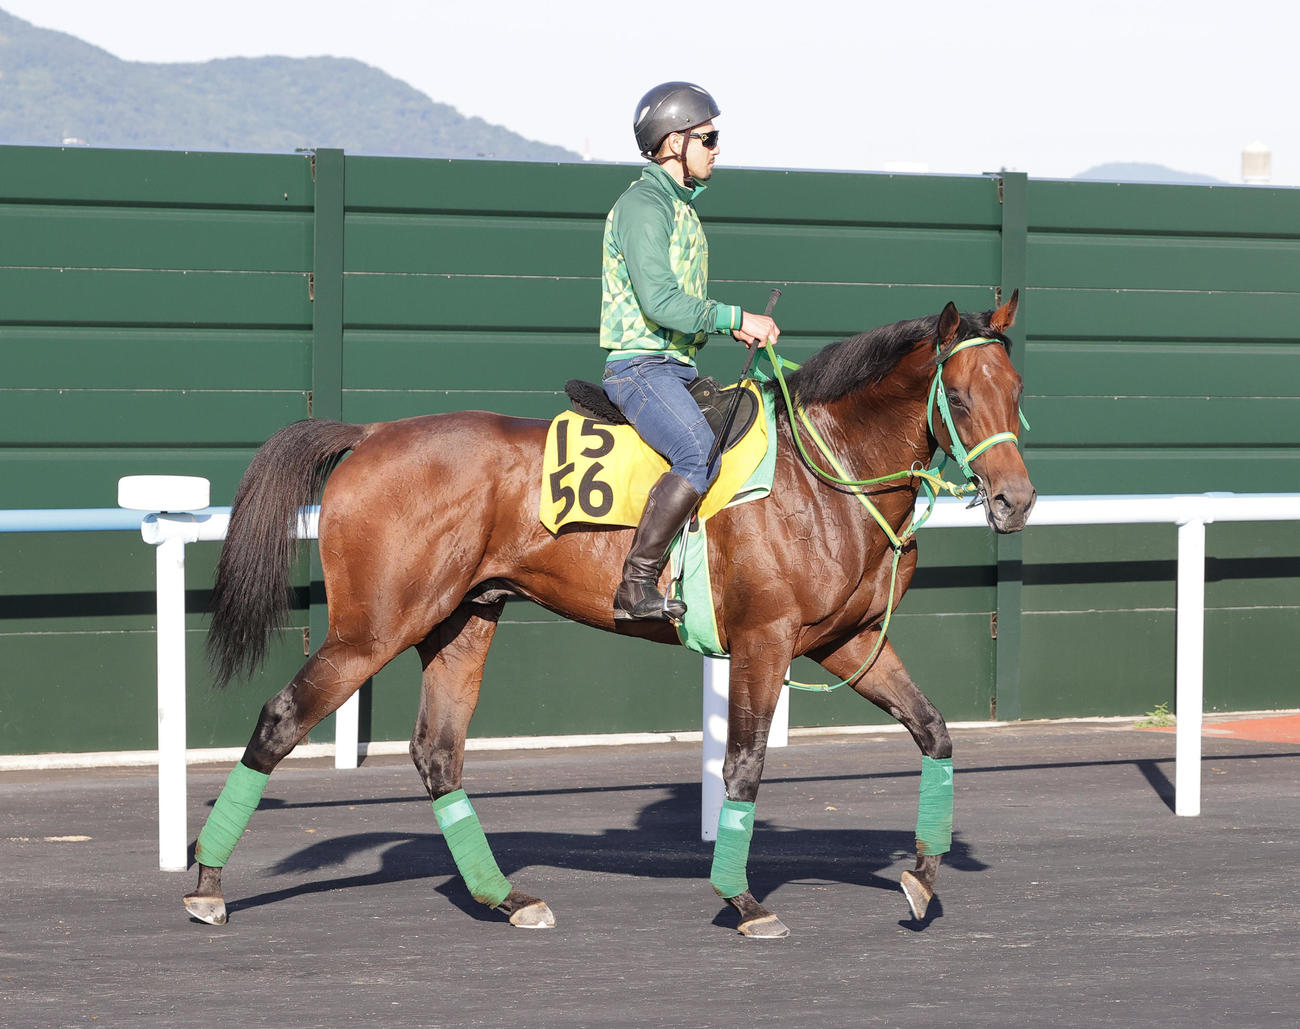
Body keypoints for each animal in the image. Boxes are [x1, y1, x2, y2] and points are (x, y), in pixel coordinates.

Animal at [183, 292, 1034, 938]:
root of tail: (369, 434)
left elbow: (932, 729)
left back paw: (506, 896)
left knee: (438, 754)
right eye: (960, 397)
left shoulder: (848, 641)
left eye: (1017, 392)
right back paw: (207, 883)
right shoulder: (765, 640)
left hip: (460, 622)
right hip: (372, 628)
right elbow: (745, 765)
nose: (1015, 501)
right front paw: (744, 899)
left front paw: (922, 876)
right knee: (282, 718)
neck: (828, 473)